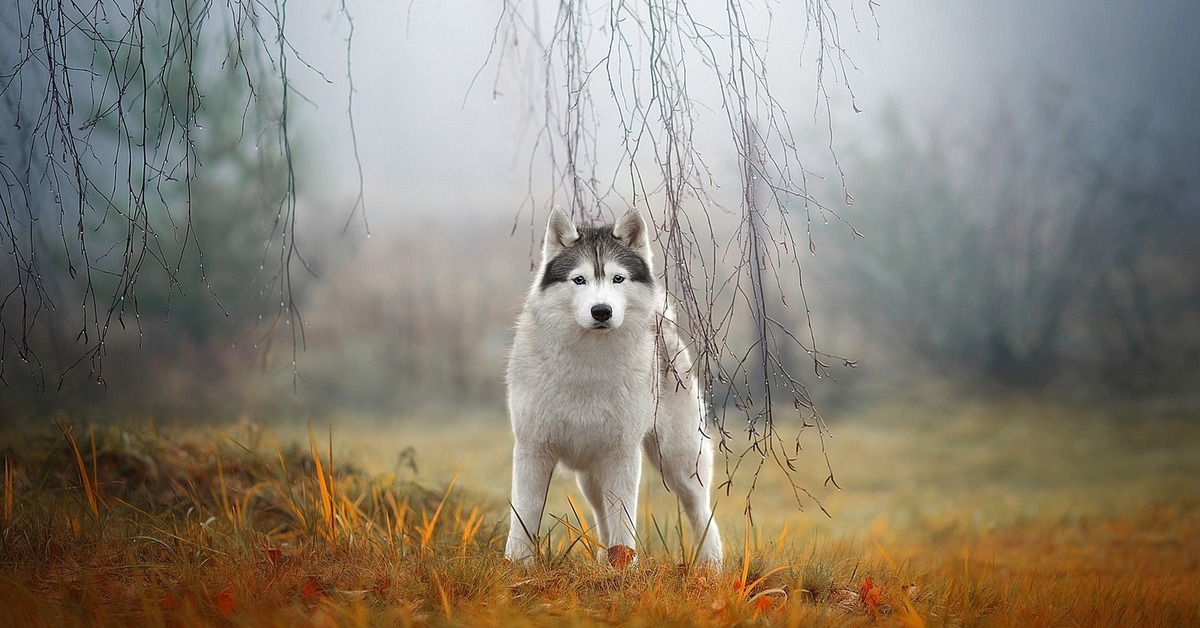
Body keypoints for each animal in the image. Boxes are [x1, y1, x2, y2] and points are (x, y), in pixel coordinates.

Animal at [506, 208, 720, 566]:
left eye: (618, 278)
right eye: (579, 280)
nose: (601, 311)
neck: (588, 364)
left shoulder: (622, 456)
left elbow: (623, 518)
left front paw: (625, 568)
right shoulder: (532, 449)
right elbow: (524, 516)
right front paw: (517, 565)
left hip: (679, 463)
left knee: (702, 514)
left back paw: (713, 566)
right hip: (591, 478)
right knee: (601, 516)